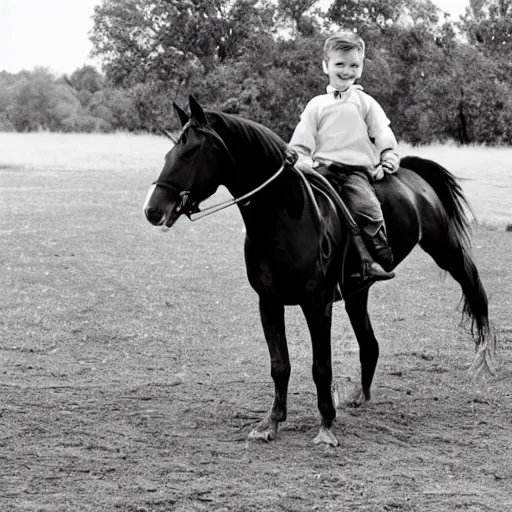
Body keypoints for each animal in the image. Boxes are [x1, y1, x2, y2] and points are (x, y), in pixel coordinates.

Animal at [142, 96, 494, 448]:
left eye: (189, 153)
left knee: (473, 287)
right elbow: (279, 365)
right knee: (370, 344)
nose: (152, 209)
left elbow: (321, 367)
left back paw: (483, 352)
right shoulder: (268, 302)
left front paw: (326, 425)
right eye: (169, 153)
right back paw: (361, 396)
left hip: (445, 250)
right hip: (357, 293)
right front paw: (271, 422)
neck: (283, 218)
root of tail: (410, 171)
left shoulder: (317, 303)